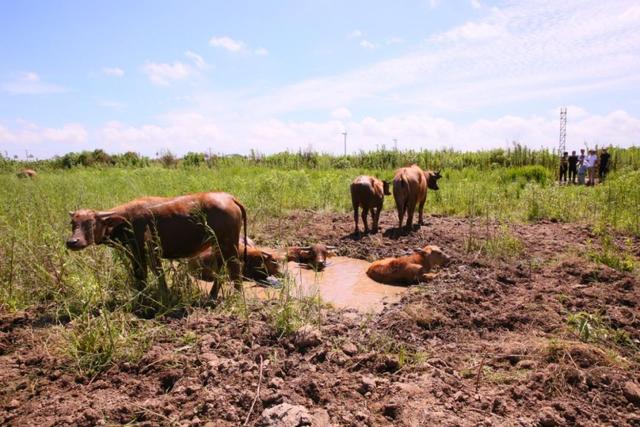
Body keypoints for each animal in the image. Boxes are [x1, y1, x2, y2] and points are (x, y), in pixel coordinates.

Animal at [67, 192, 248, 300]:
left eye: (90, 223)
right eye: (73, 223)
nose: (72, 242)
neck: (125, 221)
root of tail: (229, 198)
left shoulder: (142, 251)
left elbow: (143, 275)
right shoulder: (136, 253)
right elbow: (144, 275)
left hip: (228, 243)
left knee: (235, 267)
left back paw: (237, 296)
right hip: (219, 245)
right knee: (222, 267)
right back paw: (212, 295)